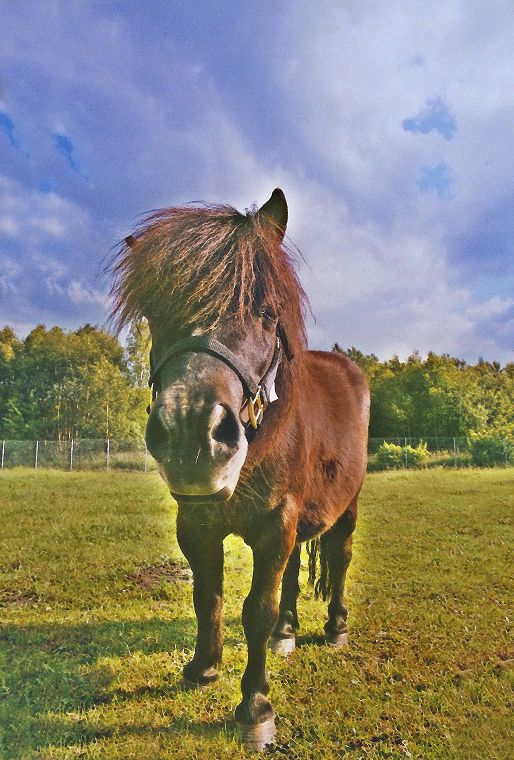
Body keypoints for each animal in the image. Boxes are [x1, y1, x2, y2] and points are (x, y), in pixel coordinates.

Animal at [110, 189, 368, 748]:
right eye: (155, 315)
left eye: (267, 313)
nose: (191, 434)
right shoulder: (197, 523)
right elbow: (208, 595)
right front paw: (203, 668)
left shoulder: (275, 524)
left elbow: (256, 610)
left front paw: (255, 706)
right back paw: (288, 633)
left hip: (346, 507)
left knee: (339, 557)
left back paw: (335, 628)